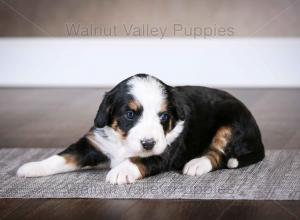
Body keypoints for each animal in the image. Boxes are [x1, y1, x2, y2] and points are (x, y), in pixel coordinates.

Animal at [17, 74, 264, 184]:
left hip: (231, 124)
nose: (148, 143)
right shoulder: (93, 143)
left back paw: (196, 164)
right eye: (130, 114)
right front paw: (33, 167)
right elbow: (64, 156)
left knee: (218, 154)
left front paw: (120, 171)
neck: (123, 142)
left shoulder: (164, 151)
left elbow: (139, 160)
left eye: (164, 116)